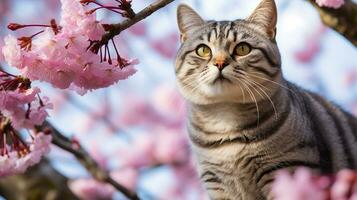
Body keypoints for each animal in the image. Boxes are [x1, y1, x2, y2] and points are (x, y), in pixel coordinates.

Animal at [174, 0, 356, 199]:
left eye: (243, 48)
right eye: (203, 50)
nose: (220, 63)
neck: (226, 118)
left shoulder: (288, 173)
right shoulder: (217, 182)